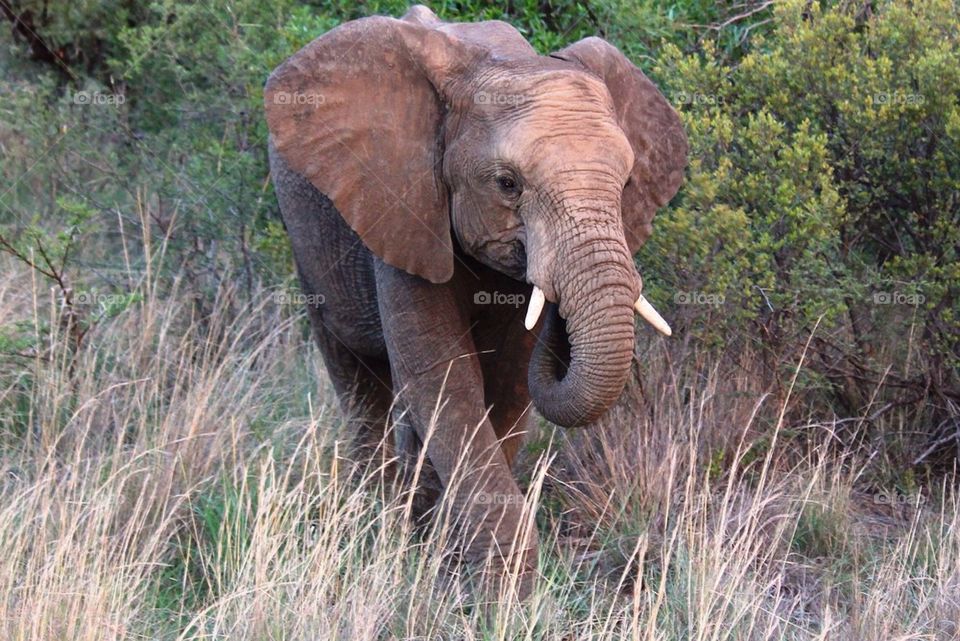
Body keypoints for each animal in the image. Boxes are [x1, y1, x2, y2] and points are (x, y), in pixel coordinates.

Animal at [264, 5, 686, 600]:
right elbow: (443, 378)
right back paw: (376, 522)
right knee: (355, 372)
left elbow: (507, 382)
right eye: (507, 184)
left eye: (626, 182)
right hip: (306, 230)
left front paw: (459, 563)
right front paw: (499, 594)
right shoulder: (404, 201)